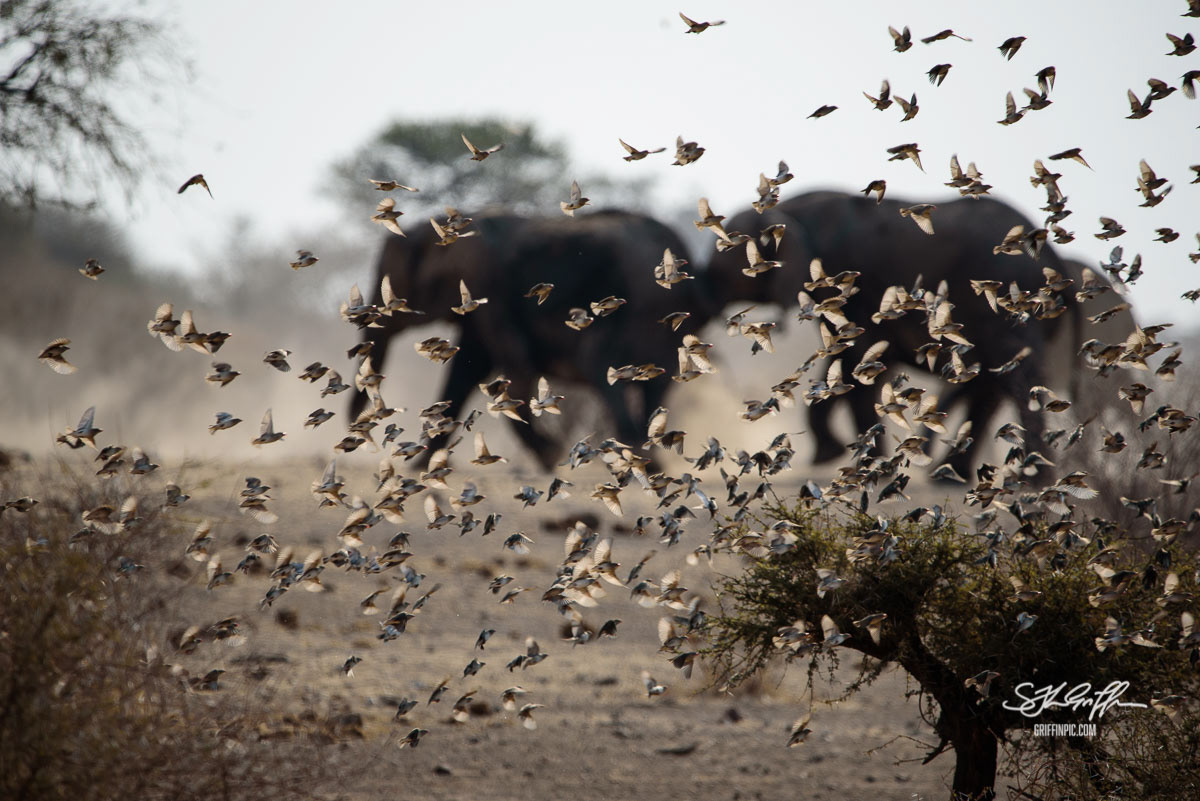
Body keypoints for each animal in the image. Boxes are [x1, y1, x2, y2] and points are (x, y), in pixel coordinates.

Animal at [350, 209, 717, 469]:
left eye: (393, 278)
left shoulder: (489, 285)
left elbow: (509, 369)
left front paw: (550, 455)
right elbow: (466, 372)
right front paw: (426, 466)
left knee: (606, 364)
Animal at [703, 190, 1131, 476]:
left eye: (722, 266)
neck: (788, 212)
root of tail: (1055, 259)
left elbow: (857, 361)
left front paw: (863, 463)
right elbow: (850, 360)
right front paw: (837, 456)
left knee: (1016, 377)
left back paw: (1030, 478)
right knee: (994, 380)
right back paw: (954, 477)